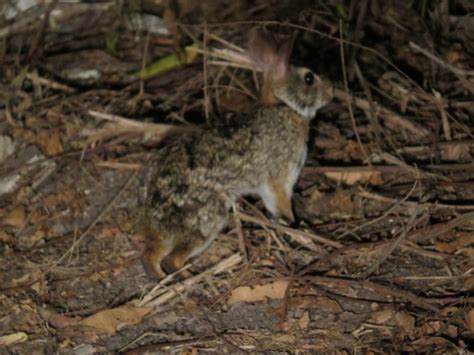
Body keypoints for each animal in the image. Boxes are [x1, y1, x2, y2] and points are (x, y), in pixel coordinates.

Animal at [141, 27, 334, 280]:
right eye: (309, 78)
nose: (331, 93)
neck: (284, 105)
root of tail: (154, 217)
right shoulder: (280, 178)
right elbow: (280, 202)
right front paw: (292, 224)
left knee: (151, 256)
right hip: (207, 219)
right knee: (172, 259)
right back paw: (190, 278)